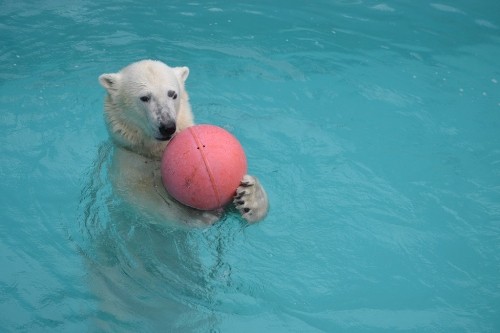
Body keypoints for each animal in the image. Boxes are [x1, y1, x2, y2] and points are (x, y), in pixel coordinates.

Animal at [98, 60, 270, 226]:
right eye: (145, 97)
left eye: (172, 94)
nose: (167, 126)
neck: (154, 151)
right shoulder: (128, 163)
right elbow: (140, 199)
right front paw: (200, 215)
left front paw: (249, 196)